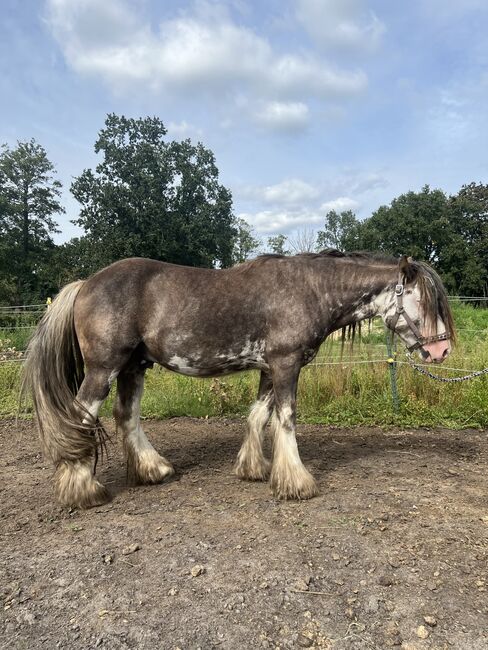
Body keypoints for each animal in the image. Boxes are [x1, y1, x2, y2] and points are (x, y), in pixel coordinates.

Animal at [21, 249, 452, 506]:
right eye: (422, 300)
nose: (441, 351)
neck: (310, 290)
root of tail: (85, 284)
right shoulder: (286, 365)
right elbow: (286, 420)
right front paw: (296, 482)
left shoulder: (269, 368)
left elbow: (258, 416)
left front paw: (254, 469)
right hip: (104, 367)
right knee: (81, 417)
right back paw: (83, 490)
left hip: (133, 367)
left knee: (126, 416)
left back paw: (154, 470)